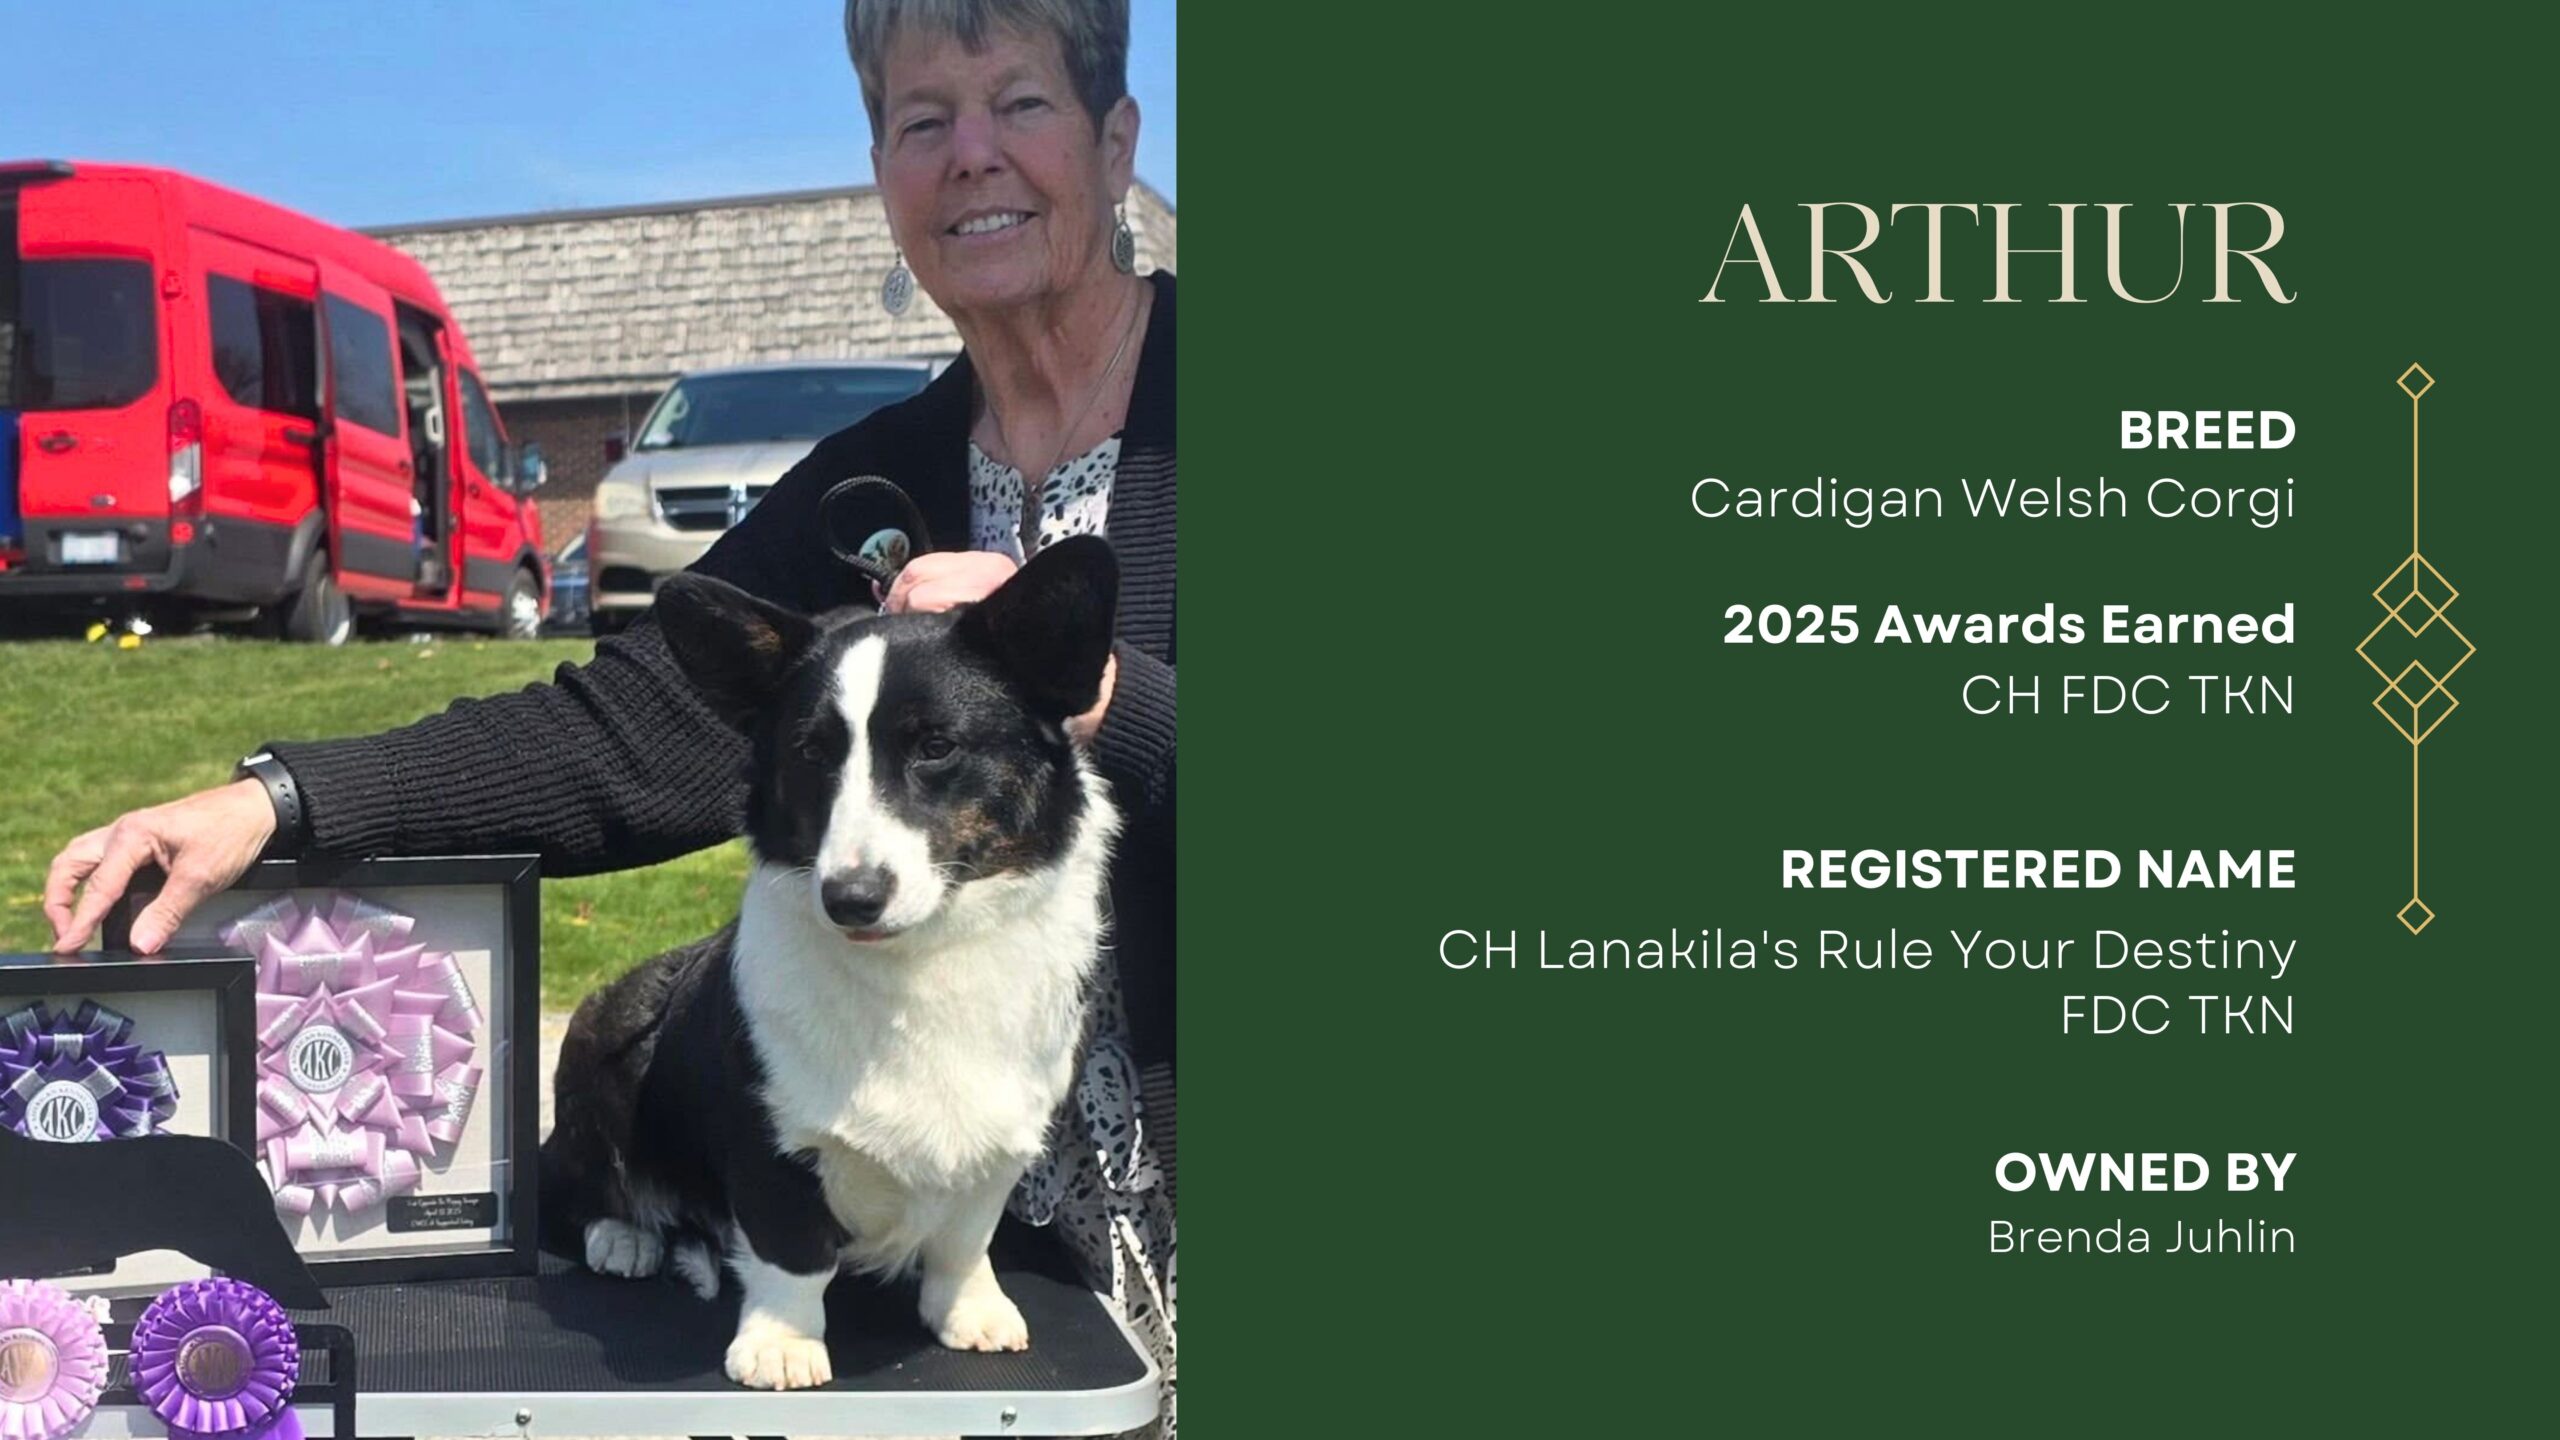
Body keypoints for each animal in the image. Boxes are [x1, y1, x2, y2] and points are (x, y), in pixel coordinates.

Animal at [539, 535, 1121, 1391]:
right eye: (812, 753)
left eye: (936, 747)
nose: (851, 899)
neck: (919, 961)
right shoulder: (769, 1142)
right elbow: (792, 1257)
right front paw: (781, 1347)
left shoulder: (1002, 1145)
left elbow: (964, 1240)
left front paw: (970, 1312)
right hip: (598, 1042)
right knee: (577, 1188)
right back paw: (625, 1236)